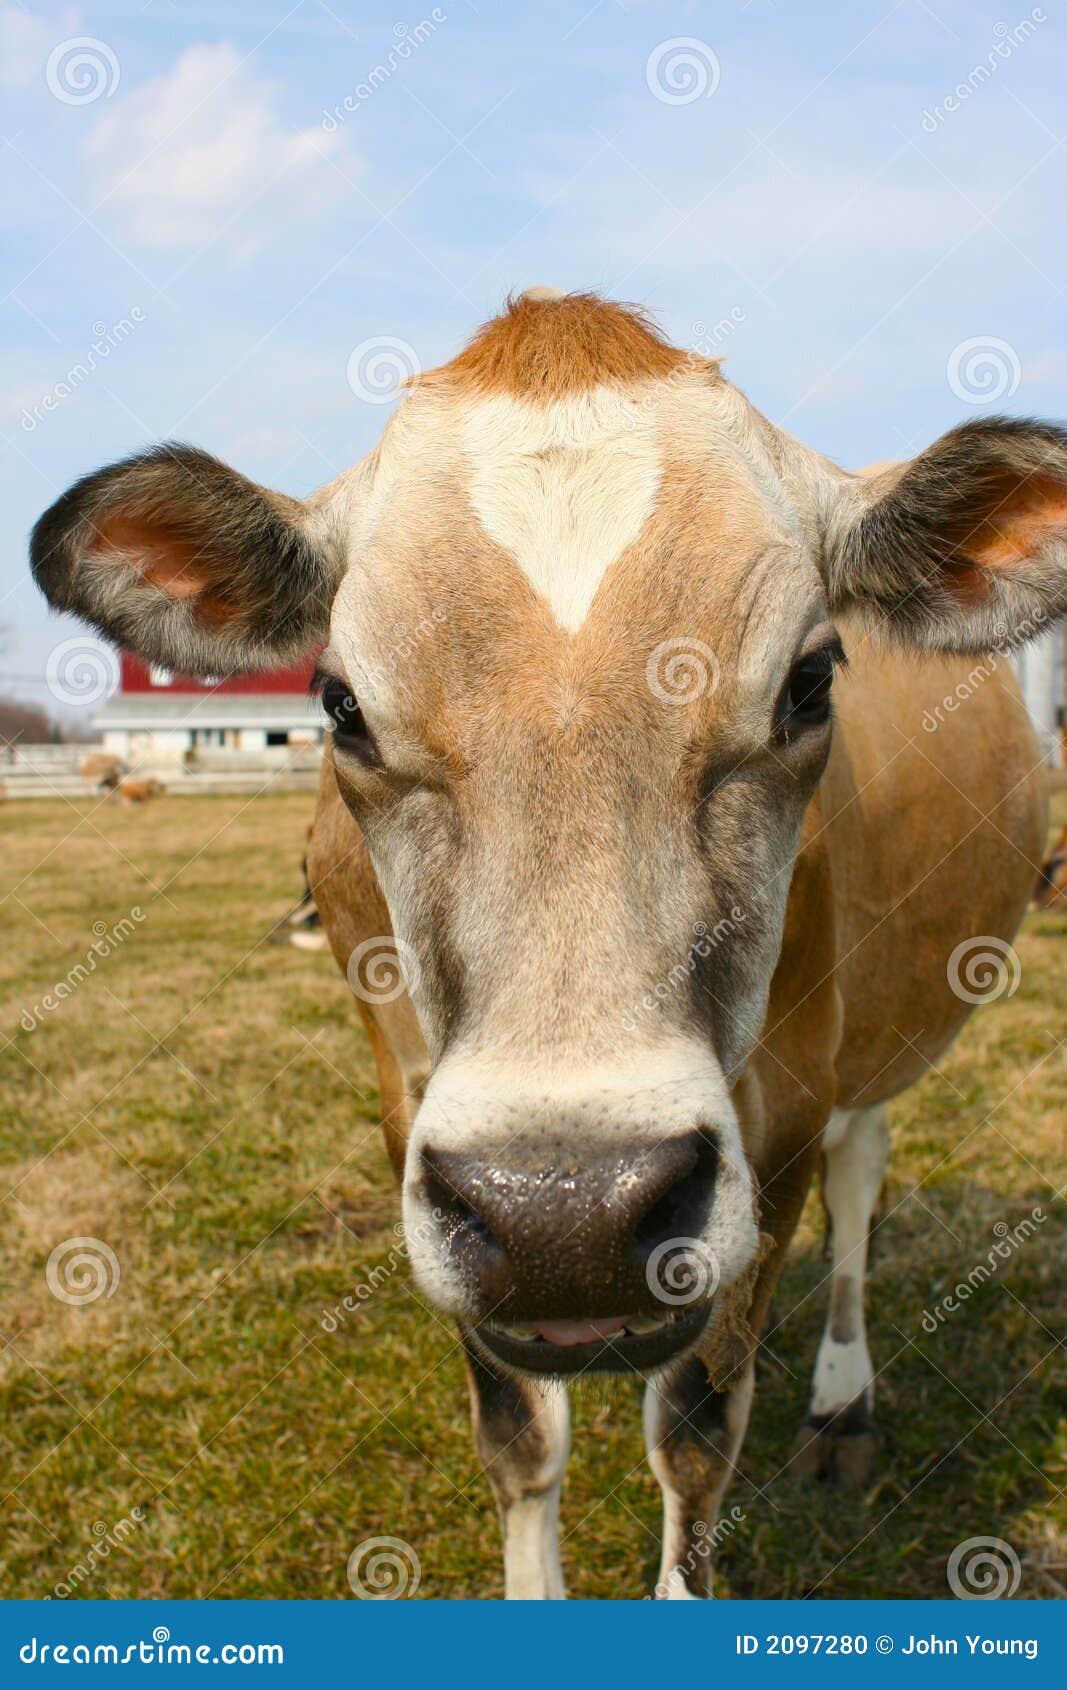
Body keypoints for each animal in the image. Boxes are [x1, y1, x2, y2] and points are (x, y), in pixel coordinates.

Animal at [30, 290, 1065, 1599]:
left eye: (809, 679)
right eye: (340, 704)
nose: (565, 1212)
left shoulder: (780, 1106)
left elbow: (694, 1434)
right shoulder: (410, 1103)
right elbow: (518, 1433)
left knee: (859, 1180)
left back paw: (840, 1406)